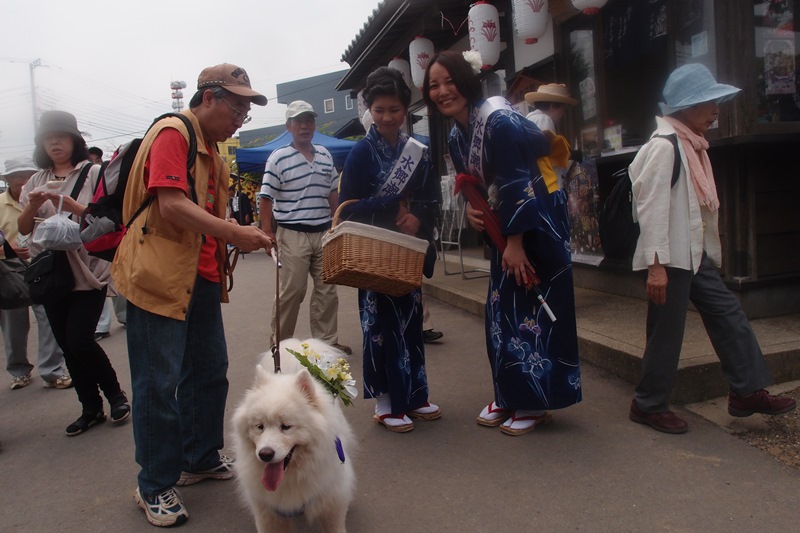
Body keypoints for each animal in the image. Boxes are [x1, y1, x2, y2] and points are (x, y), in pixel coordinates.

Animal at [231, 338, 356, 532]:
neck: (291, 477)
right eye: (259, 426)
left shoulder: (331, 505)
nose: (265, 454)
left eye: (286, 427)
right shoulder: (268, 514)